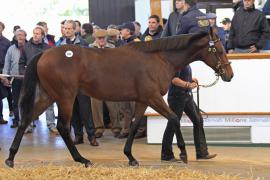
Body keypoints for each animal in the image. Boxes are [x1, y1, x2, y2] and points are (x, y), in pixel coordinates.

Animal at [5, 27, 233, 168]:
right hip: (65, 97)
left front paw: (130, 157)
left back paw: (10, 158)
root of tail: (44, 54)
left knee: (25, 120)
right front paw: (183, 154)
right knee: (62, 126)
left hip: (48, 96)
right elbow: (175, 118)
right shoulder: (153, 98)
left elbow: (133, 125)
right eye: (219, 49)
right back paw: (82, 159)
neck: (158, 58)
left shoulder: (142, 101)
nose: (229, 75)